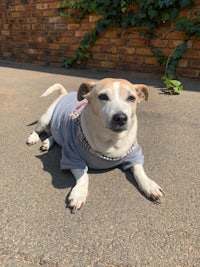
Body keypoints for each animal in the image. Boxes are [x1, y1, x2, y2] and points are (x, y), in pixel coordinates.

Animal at [27, 78, 164, 214]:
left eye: (131, 98)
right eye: (102, 96)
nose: (120, 118)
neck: (111, 140)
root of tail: (65, 94)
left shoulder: (134, 153)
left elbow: (139, 170)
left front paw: (149, 185)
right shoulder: (71, 156)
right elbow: (84, 176)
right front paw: (79, 193)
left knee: (54, 135)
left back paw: (47, 143)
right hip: (46, 118)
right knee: (37, 129)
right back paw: (33, 138)